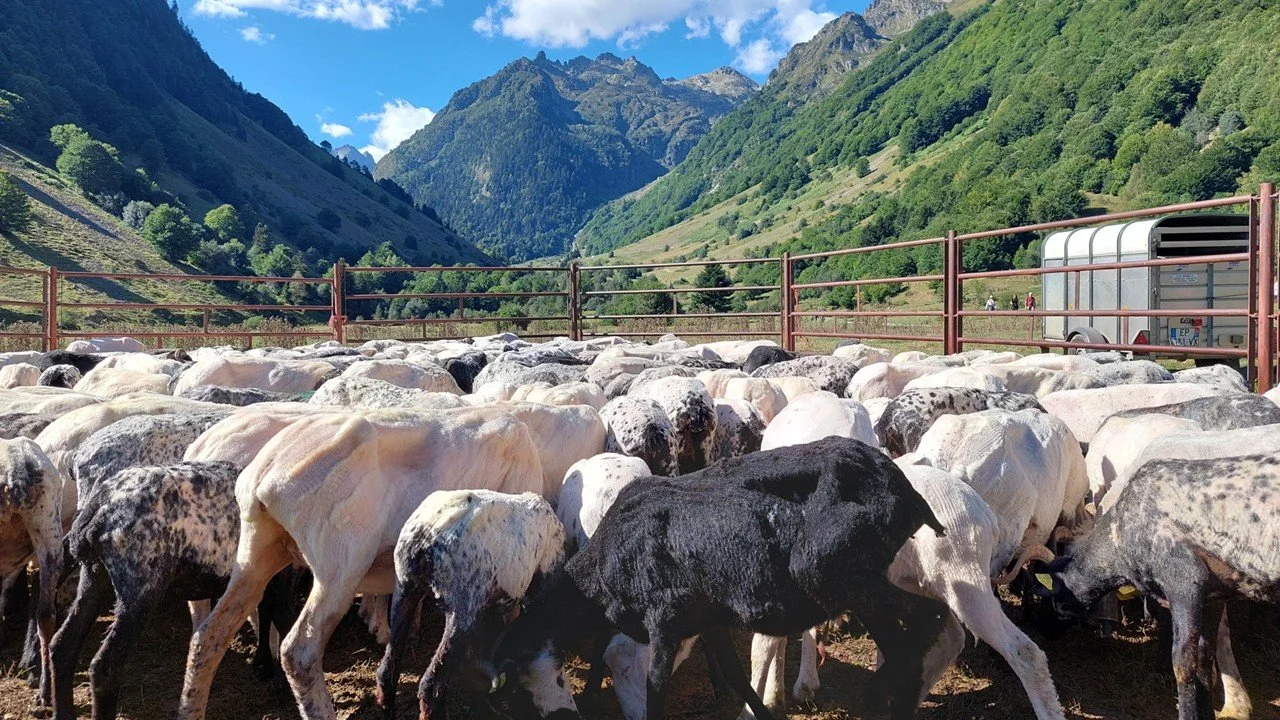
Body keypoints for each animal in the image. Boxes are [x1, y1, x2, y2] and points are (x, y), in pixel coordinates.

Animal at [177, 407, 545, 720]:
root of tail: (265, 475)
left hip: (257, 550)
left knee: (208, 635)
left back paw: (190, 708)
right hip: (339, 563)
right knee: (299, 652)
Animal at [487, 437, 948, 720]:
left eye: (516, 696)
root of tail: (903, 487)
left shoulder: (666, 622)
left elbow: (656, 687)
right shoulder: (706, 620)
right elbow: (735, 676)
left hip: (837, 574)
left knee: (931, 620)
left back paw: (880, 692)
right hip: (858, 586)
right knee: (906, 641)